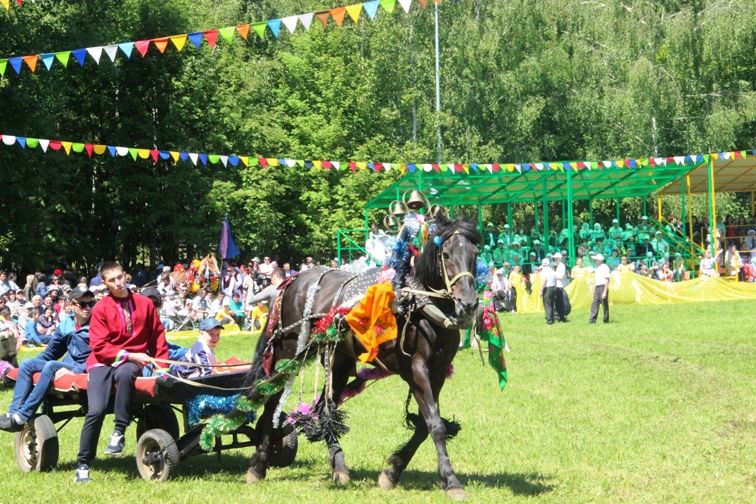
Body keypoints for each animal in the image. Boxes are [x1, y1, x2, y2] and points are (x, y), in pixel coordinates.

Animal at [245, 214, 482, 500]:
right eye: (445, 255)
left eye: (475, 254)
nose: (468, 303)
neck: (421, 306)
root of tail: (293, 281)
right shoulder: (416, 370)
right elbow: (435, 425)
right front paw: (451, 480)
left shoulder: (438, 372)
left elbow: (426, 425)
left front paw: (392, 471)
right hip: (287, 355)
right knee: (271, 401)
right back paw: (258, 465)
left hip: (338, 362)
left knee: (325, 410)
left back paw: (339, 467)